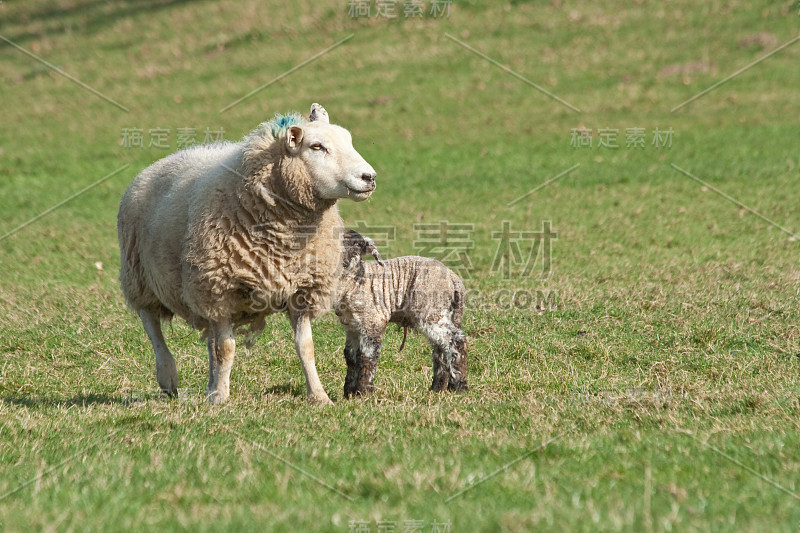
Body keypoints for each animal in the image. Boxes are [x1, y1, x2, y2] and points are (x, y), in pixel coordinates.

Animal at [118, 104, 378, 404]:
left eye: (349, 140)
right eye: (317, 146)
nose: (369, 177)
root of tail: (159, 162)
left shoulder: (303, 290)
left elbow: (306, 347)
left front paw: (318, 395)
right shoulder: (218, 290)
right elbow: (227, 348)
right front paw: (221, 397)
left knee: (209, 341)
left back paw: (209, 387)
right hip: (140, 276)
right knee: (152, 326)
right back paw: (169, 377)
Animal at [332, 231, 468, 396]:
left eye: (357, 244)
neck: (355, 282)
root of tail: (452, 276)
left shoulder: (373, 321)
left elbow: (366, 356)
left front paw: (363, 392)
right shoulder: (352, 327)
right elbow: (350, 357)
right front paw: (348, 393)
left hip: (430, 311)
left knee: (456, 340)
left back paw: (459, 386)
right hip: (441, 312)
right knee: (441, 348)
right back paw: (437, 387)